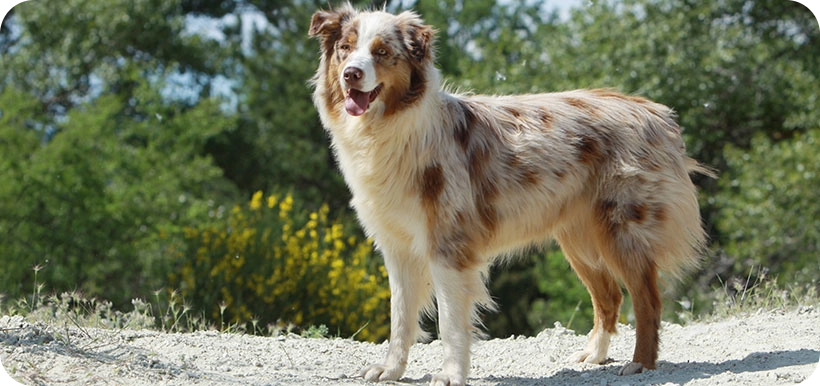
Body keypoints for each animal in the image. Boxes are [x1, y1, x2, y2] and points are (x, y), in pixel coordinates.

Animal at [308, 3, 712, 386]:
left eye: (382, 52)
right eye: (345, 49)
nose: (351, 74)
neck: (389, 130)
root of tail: (654, 111)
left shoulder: (448, 245)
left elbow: (450, 323)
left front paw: (451, 374)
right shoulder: (397, 247)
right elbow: (401, 317)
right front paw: (392, 370)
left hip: (623, 229)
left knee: (647, 301)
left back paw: (641, 363)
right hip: (579, 237)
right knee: (609, 296)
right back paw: (594, 355)